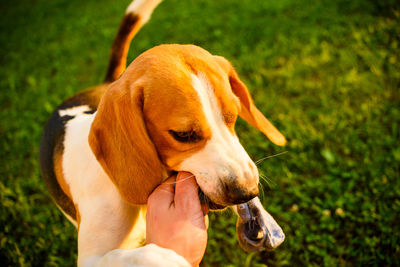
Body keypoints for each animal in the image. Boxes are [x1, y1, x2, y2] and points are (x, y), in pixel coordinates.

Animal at [39, 0, 284, 266]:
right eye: (183, 135)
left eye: (234, 116)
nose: (247, 192)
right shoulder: (91, 258)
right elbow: (133, 255)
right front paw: (170, 253)